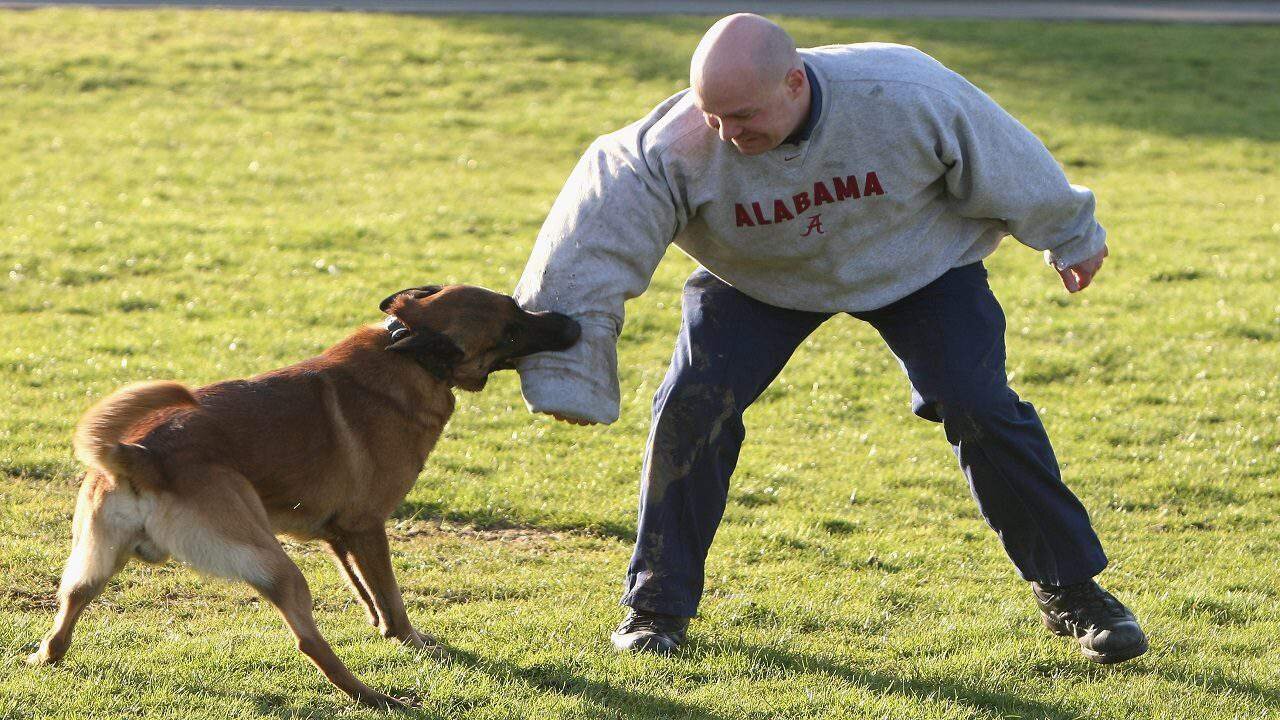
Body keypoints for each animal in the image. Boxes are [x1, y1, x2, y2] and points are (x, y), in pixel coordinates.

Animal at [28, 284, 581, 707]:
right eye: (512, 327)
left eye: (518, 307)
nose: (572, 323)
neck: (409, 355)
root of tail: (140, 453)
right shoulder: (367, 526)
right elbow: (393, 598)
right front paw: (413, 642)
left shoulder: (339, 534)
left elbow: (367, 593)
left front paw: (382, 627)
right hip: (275, 564)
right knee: (310, 643)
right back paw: (378, 697)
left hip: (96, 561)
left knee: (68, 608)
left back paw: (43, 656)